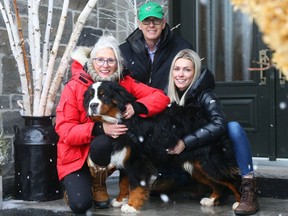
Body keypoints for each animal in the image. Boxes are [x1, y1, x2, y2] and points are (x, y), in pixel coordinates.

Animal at [84, 80, 243, 213]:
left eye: (104, 95)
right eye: (90, 97)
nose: (92, 105)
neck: (119, 118)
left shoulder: (136, 159)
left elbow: (136, 185)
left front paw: (131, 206)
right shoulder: (124, 155)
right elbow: (123, 182)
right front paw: (120, 200)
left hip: (209, 162)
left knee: (232, 179)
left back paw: (240, 203)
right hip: (196, 166)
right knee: (218, 183)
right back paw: (211, 199)